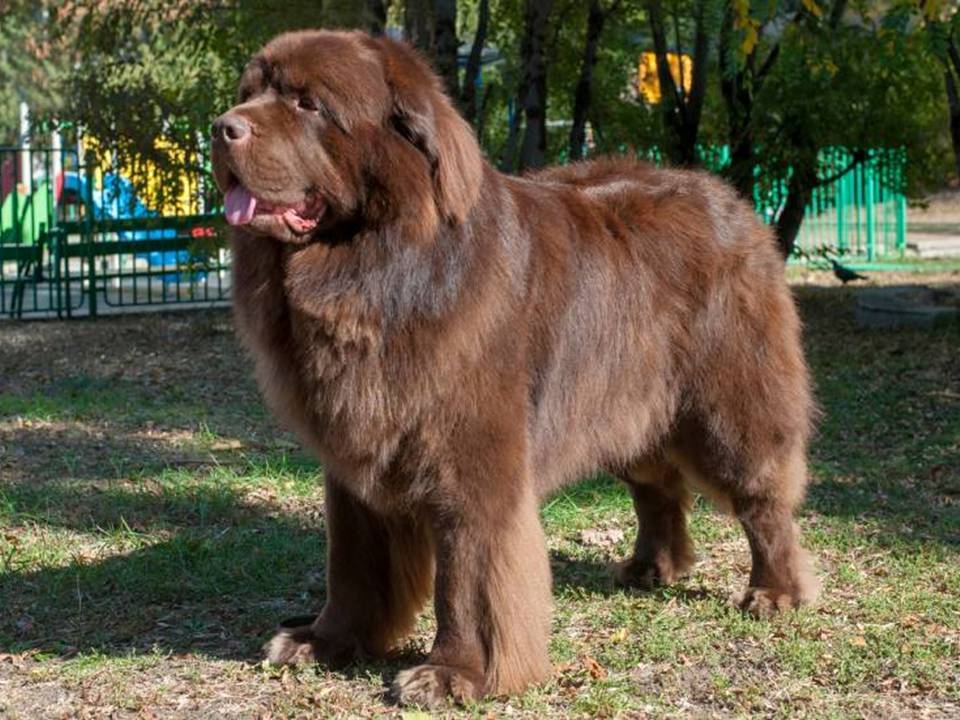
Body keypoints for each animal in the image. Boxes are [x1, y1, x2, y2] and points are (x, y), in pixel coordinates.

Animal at [210, 31, 816, 704]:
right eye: (250, 92)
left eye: (309, 104)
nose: (222, 127)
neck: (381, 271)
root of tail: (729, 197)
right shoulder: (353, 454)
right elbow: (352, 563)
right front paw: (323, 641)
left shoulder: (471, 459)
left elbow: (468, 575)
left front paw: (454, 673)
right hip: (622, 403)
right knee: (657, 484)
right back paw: (650, 567)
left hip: (726, 405)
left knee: (762, 494)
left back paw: (775, 591)